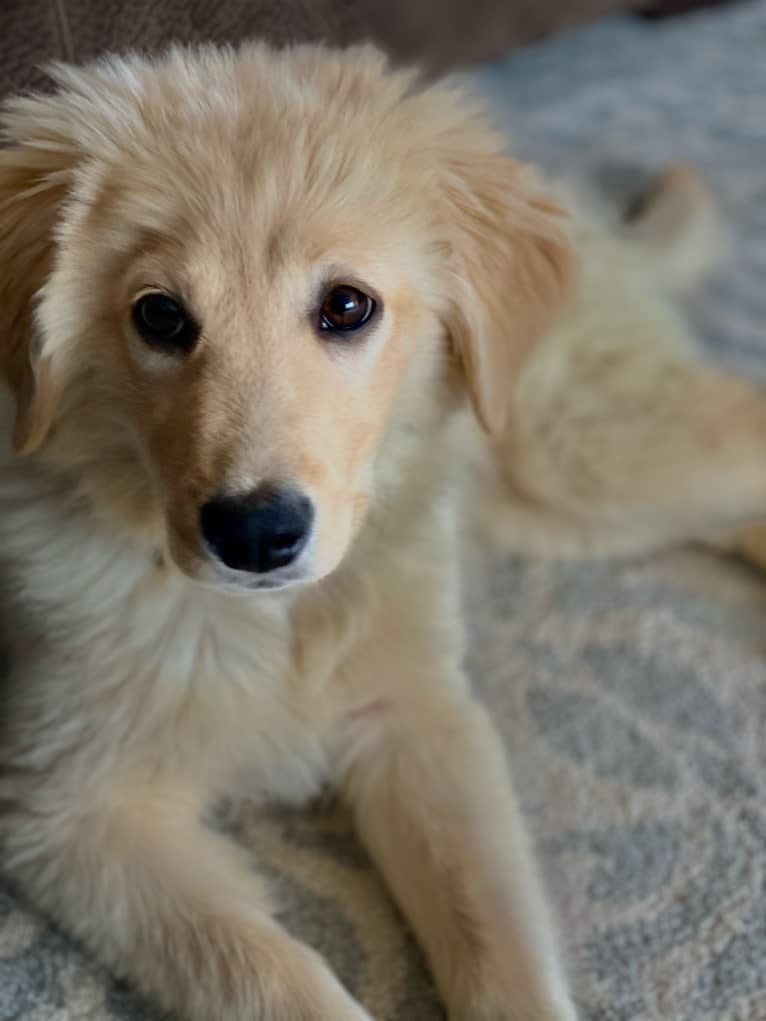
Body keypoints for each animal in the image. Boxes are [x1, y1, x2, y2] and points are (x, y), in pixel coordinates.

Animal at [1, 39, 766, 1021]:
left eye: (347, 306)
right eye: (160, 316)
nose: (256, 535)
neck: (281, 620)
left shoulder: (419, 714)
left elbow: (496, 925)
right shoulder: (73, 810)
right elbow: (263, 971)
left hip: (579, 443)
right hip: (555, 507)